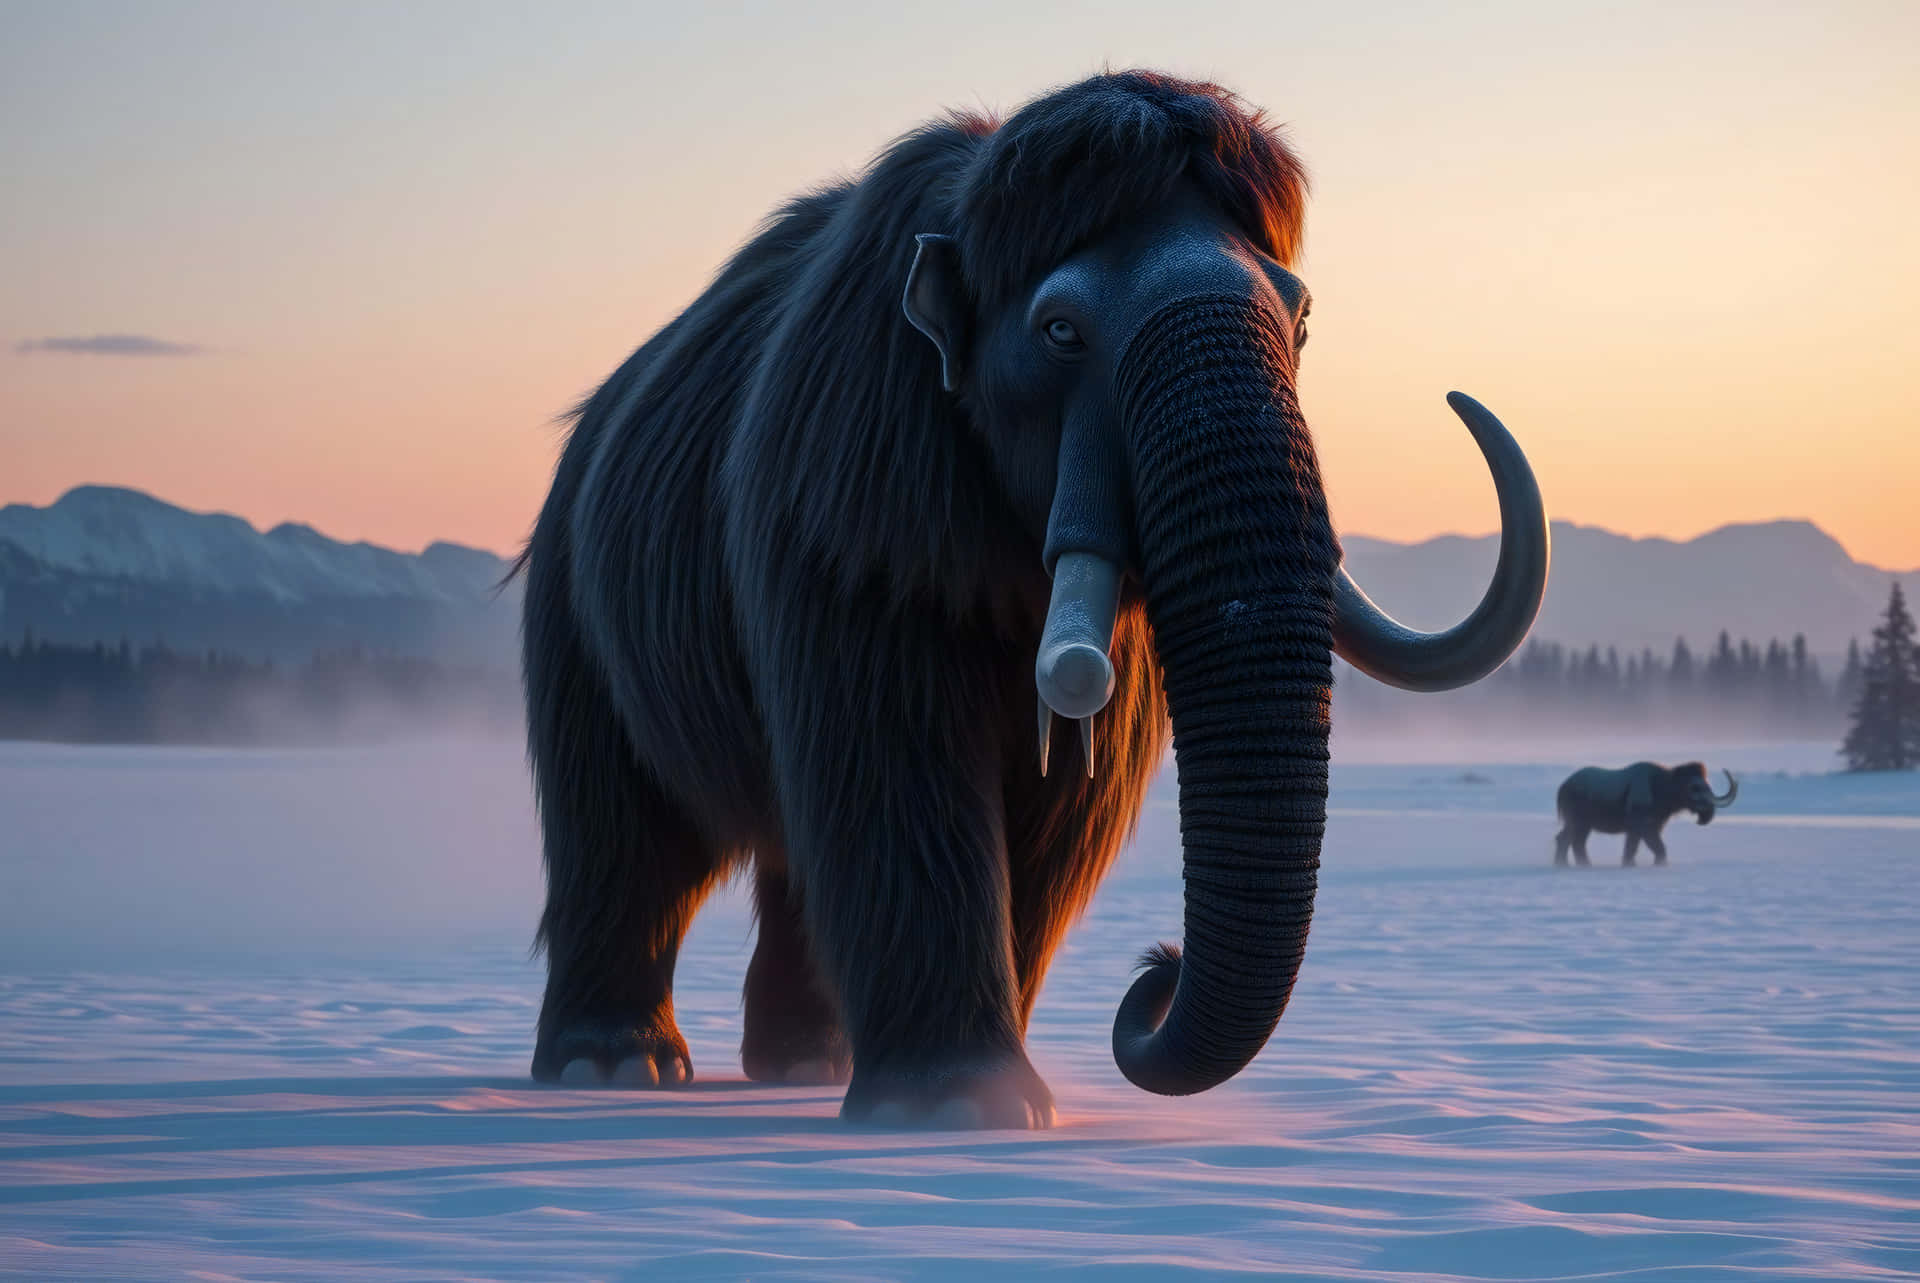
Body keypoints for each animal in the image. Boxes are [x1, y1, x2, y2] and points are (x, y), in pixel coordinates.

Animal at [513, 70, 1551, 1128]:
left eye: (1300, 321)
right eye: (1059, 331)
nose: (1154, 972)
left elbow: (1057, 812)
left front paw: (983, 1096)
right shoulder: (853, 512)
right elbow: (898, 769)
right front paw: (957, 1103)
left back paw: (808, 1061)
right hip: (573, 626)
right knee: (632, 839)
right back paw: (613, 1063)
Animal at [1553, 763, 1738, 866]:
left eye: (1706, 784)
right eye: (1695, 787)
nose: (1706, 814)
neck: (1662, 787)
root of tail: (1563, 786)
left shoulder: (1647, 826)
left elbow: (1635, 847)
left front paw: (1631, 864)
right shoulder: (1643, 825)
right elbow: (1655, 846)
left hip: (1585, 824)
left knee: (1576, 842)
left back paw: (1582, 864)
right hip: (1577, 820)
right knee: (1565, 839)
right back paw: (1564, 865)